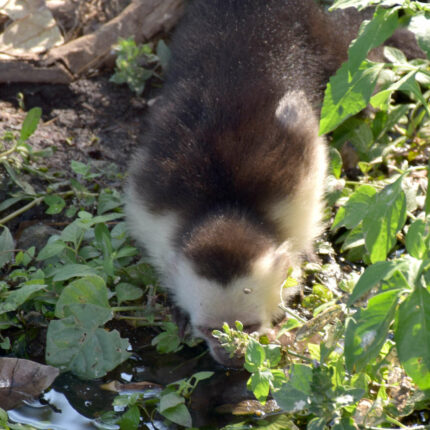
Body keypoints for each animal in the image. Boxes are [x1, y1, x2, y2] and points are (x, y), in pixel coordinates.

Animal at [126, 0, 424, 366]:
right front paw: (177, 308)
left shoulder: (296, 187)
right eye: (210, 330)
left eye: (250, 326)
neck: (226, 201)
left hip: (327, 33)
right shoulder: (153, 204)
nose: (232, 358)